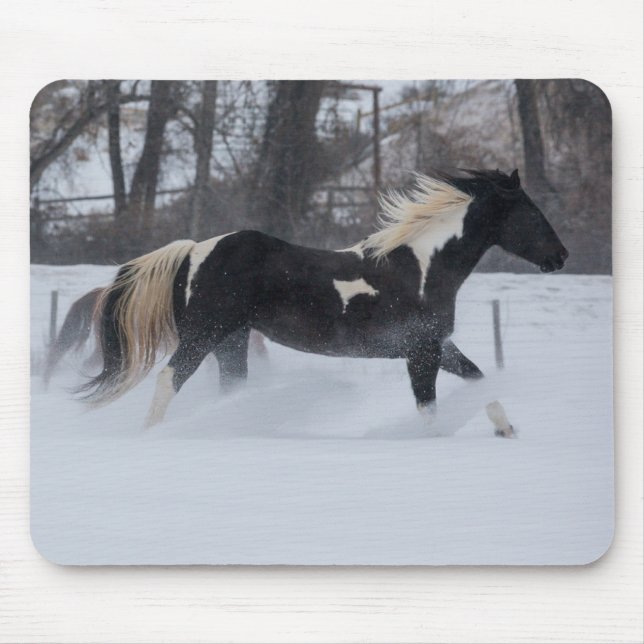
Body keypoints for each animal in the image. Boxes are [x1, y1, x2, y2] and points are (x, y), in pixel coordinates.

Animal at [80, 169, 568, 429]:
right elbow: (428, 408)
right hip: (204, 335)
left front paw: (508, 431)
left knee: (228, 386)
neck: (420, 269)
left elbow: (480, 380)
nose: (560, 256)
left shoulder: (439, 347)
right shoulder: (422, 352)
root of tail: (194, 250)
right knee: (169, 379)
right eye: (531, 214)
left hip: (232, 340)